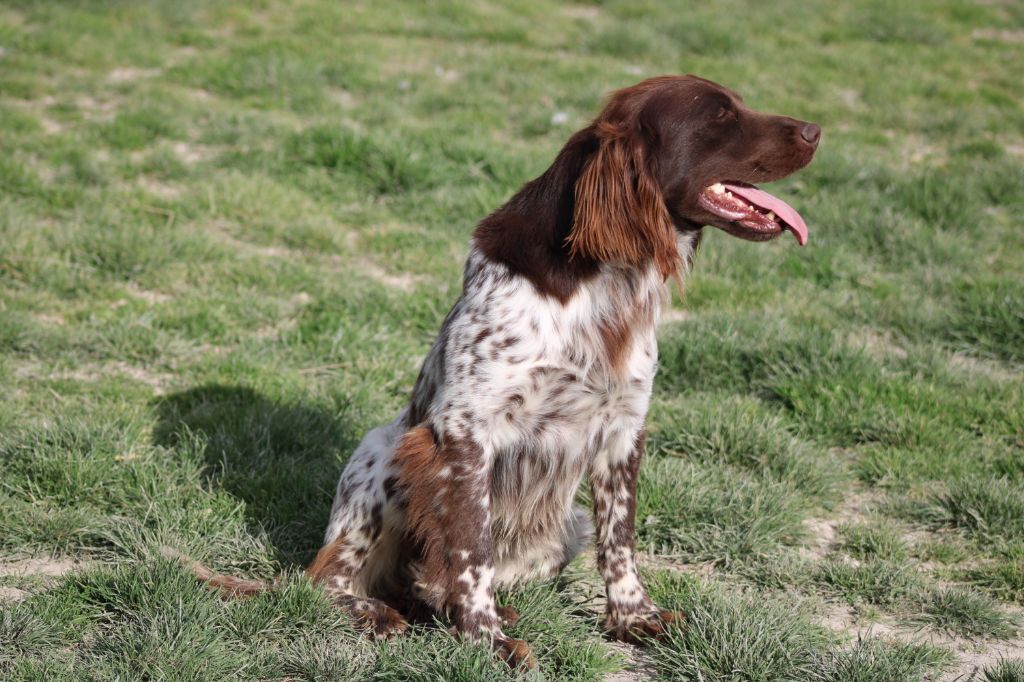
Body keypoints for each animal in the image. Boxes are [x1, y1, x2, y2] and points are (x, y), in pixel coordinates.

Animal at [172, 73, 819, 663]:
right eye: (719, 115)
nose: (816, 130)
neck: (602, 281)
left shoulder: (623, 428)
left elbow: (621, 540)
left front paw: (633, 618)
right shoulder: (463, 434)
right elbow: (470, 552)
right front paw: (485, 641)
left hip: (565, 524)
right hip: (380, 451)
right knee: (330, 578)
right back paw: (377, 613)